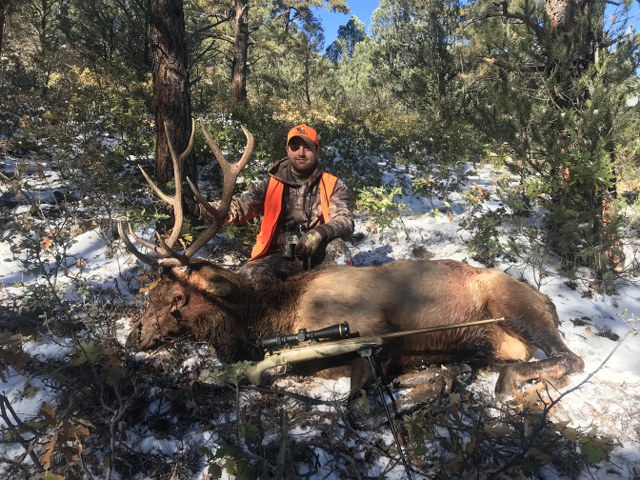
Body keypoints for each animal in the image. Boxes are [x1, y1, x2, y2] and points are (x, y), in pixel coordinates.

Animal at [120, 122, 584, 396]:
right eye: (150, 292)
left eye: (176, 298)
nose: (132, 337)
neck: (275, 314)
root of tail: (550, 301)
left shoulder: (373, 329)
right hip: (499, 340)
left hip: (513, 304)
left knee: (570, 357)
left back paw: (506, 385)